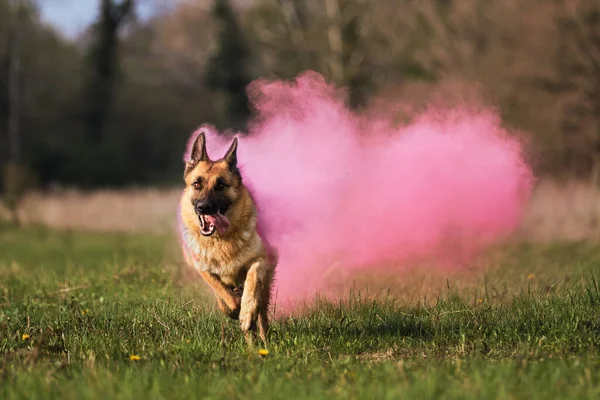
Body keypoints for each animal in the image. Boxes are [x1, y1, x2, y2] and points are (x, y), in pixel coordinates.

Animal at [176, 130, 274, 344]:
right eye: (197, 184)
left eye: (221, 185)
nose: (203, 207)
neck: (220, 241)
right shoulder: (202, 268)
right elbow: (220, 290)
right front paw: (234, 307)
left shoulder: (261, 259)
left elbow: (252, 282)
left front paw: (246, 312)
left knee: (262, 316)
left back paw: (263, 340)